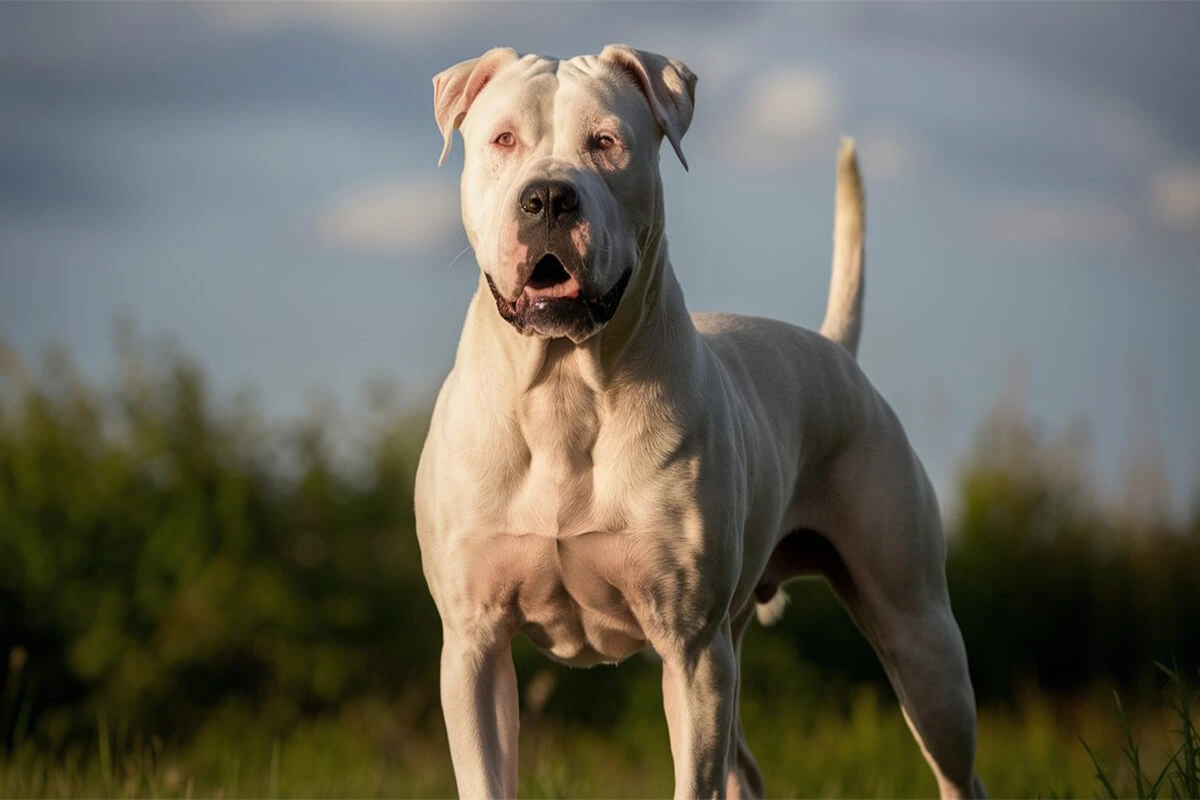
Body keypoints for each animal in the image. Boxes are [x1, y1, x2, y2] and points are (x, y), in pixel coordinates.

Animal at [415, 45, 984, 800]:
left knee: (954, 764)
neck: (565, 389)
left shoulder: (691, 652)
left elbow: (695, 774)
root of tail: (834, 349)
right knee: (746, 772)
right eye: (503, 140)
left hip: (917, 636)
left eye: (605, 142)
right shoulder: (474, 646)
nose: (548, 197)